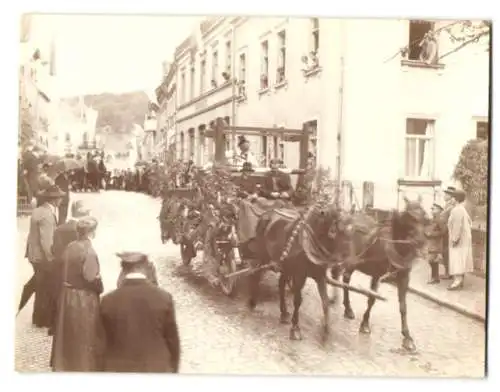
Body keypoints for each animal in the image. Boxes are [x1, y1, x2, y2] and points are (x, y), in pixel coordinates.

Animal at [249, 205, 352, 340]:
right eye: (338, 231)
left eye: (351, 232)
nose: (345, 263)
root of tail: (267, 212)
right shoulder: (299, 275)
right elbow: (298, 300)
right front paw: (295, 328)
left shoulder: (320, 276)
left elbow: (325, 301)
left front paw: (325, 330)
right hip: (263, 255)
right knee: (256, 274)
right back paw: (252, 302)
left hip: (285, 264)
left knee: (281, 284)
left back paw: (284, 313)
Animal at [332, 196, 426, 352]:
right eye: (410, 216)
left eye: (424, 215)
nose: (420, 242)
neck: (396, 247)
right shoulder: (376, 275)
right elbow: (372, 299)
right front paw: (364, 324)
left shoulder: (404, 278)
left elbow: (403, 307)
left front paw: (407, 337)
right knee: (337, 275)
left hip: (352, 263)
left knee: (344, 278)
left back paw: (346, 308)